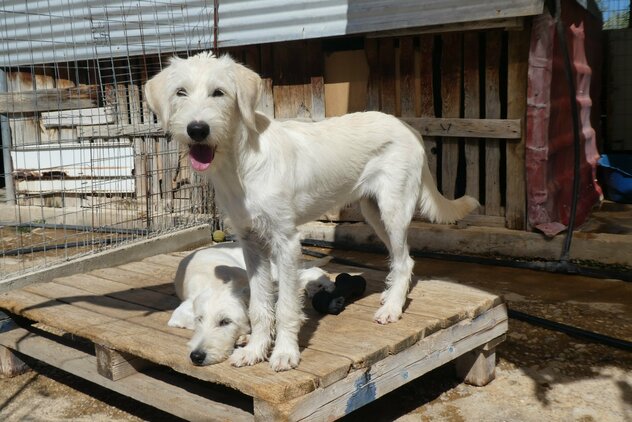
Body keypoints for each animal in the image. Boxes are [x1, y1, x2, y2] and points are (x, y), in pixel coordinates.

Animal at [168, 242, 336, 368]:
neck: (216, 283)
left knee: (309, 272)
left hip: (273, 271)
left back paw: (326, 284)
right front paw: (245, 337)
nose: (196, 356)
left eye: (226, 322)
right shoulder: (178, 315)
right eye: (199, 319)